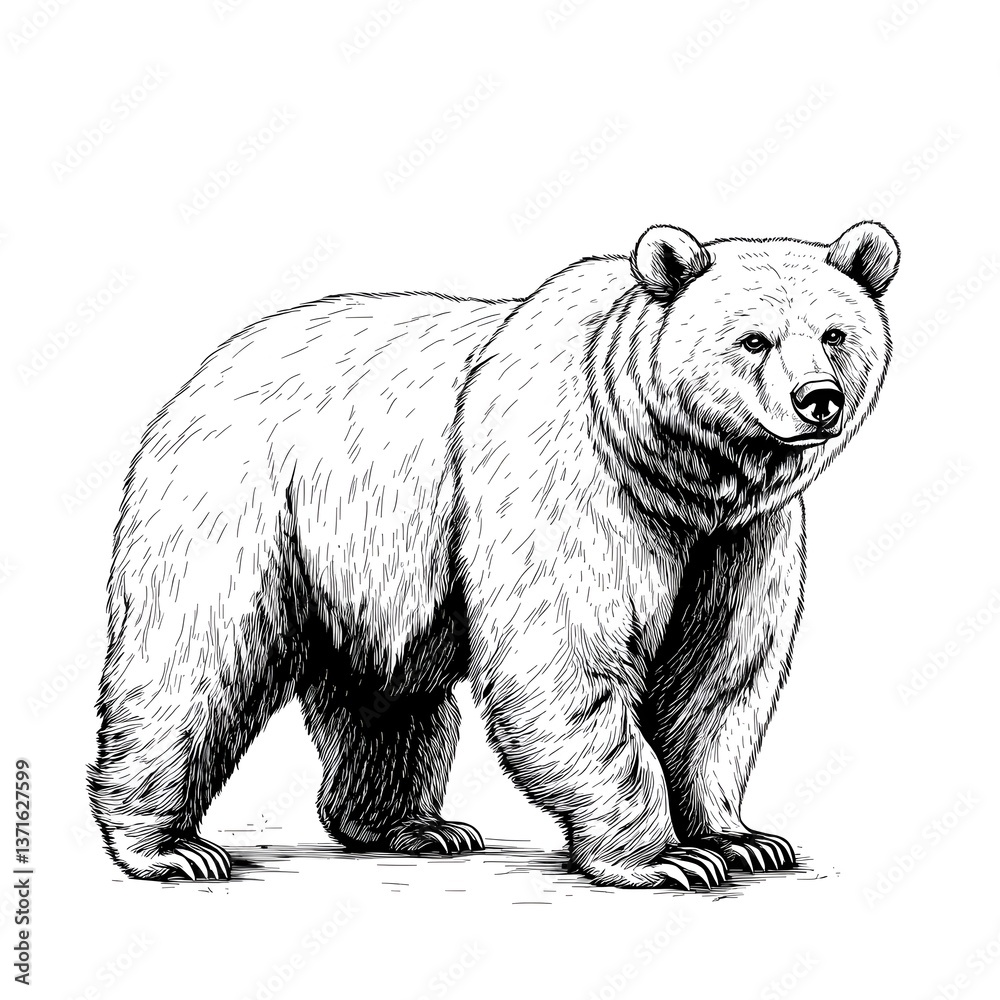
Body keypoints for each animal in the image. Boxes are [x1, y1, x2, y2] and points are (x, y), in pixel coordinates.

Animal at [90, 220, 898, 888]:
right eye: (754, 339)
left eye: (834, 333)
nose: (817, 397)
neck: (680, 472)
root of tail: (206, 367)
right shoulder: (570, 479)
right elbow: (566, 662)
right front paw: (665, 857)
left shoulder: (739, 540)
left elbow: (718, 678)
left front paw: (739, 838)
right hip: (242, 504)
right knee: (194, 664)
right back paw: (168, 847)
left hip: (375, 563)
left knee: (392, 699)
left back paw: (410, 825)